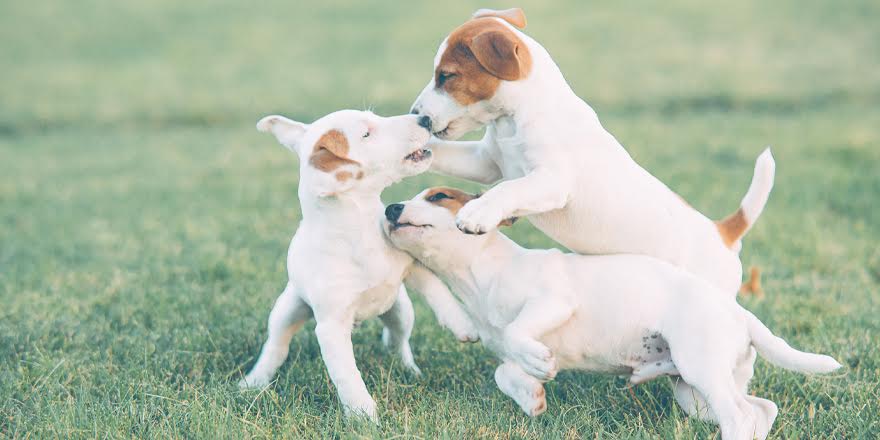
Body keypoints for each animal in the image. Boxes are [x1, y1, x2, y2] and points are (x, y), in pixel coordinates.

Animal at [237, 109, 478, 420]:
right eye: (366, 133)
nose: (423, 118)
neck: (359, 228)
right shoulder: (330, 327)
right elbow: (346, 374)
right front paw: (363, 414)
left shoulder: (410, 265)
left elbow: (437, 289)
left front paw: (462, 323)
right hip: (286, 311)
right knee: (276, 346)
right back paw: (254, 381)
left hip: (401, 310)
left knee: (398, 341)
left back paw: (410, 370)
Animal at [384, 186, 840, 440]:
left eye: (438, 196)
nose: (389, 208)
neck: (480, 274)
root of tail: (740, 314)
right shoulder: (507, 351)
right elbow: (505, 371)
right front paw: (531, 396)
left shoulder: (554, 300)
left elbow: (519, 332)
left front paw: (537, 365)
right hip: (694, 391)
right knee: (760, 411)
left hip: (702, 370)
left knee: (740, 417)